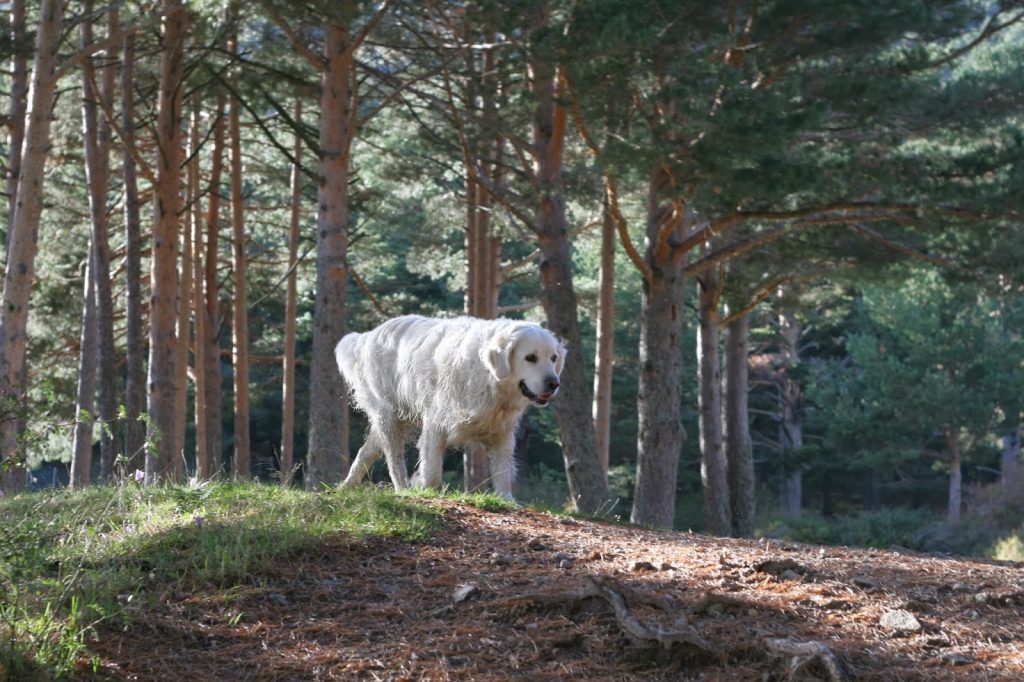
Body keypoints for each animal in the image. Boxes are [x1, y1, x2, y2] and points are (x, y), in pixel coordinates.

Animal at [335, 315, 565, 499]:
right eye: (530, 358)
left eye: (553, 358)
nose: (554, 383)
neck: (487, 375)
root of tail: (369, 335)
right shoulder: (436, 424)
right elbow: (432, 471)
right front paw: (424, 489)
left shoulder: (502, 434)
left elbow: (502, 474)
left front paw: (507, 500)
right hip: (389, 417)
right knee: (394, 461)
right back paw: (402, 489)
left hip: (398, 421)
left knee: (365, 451)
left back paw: (346, 486)